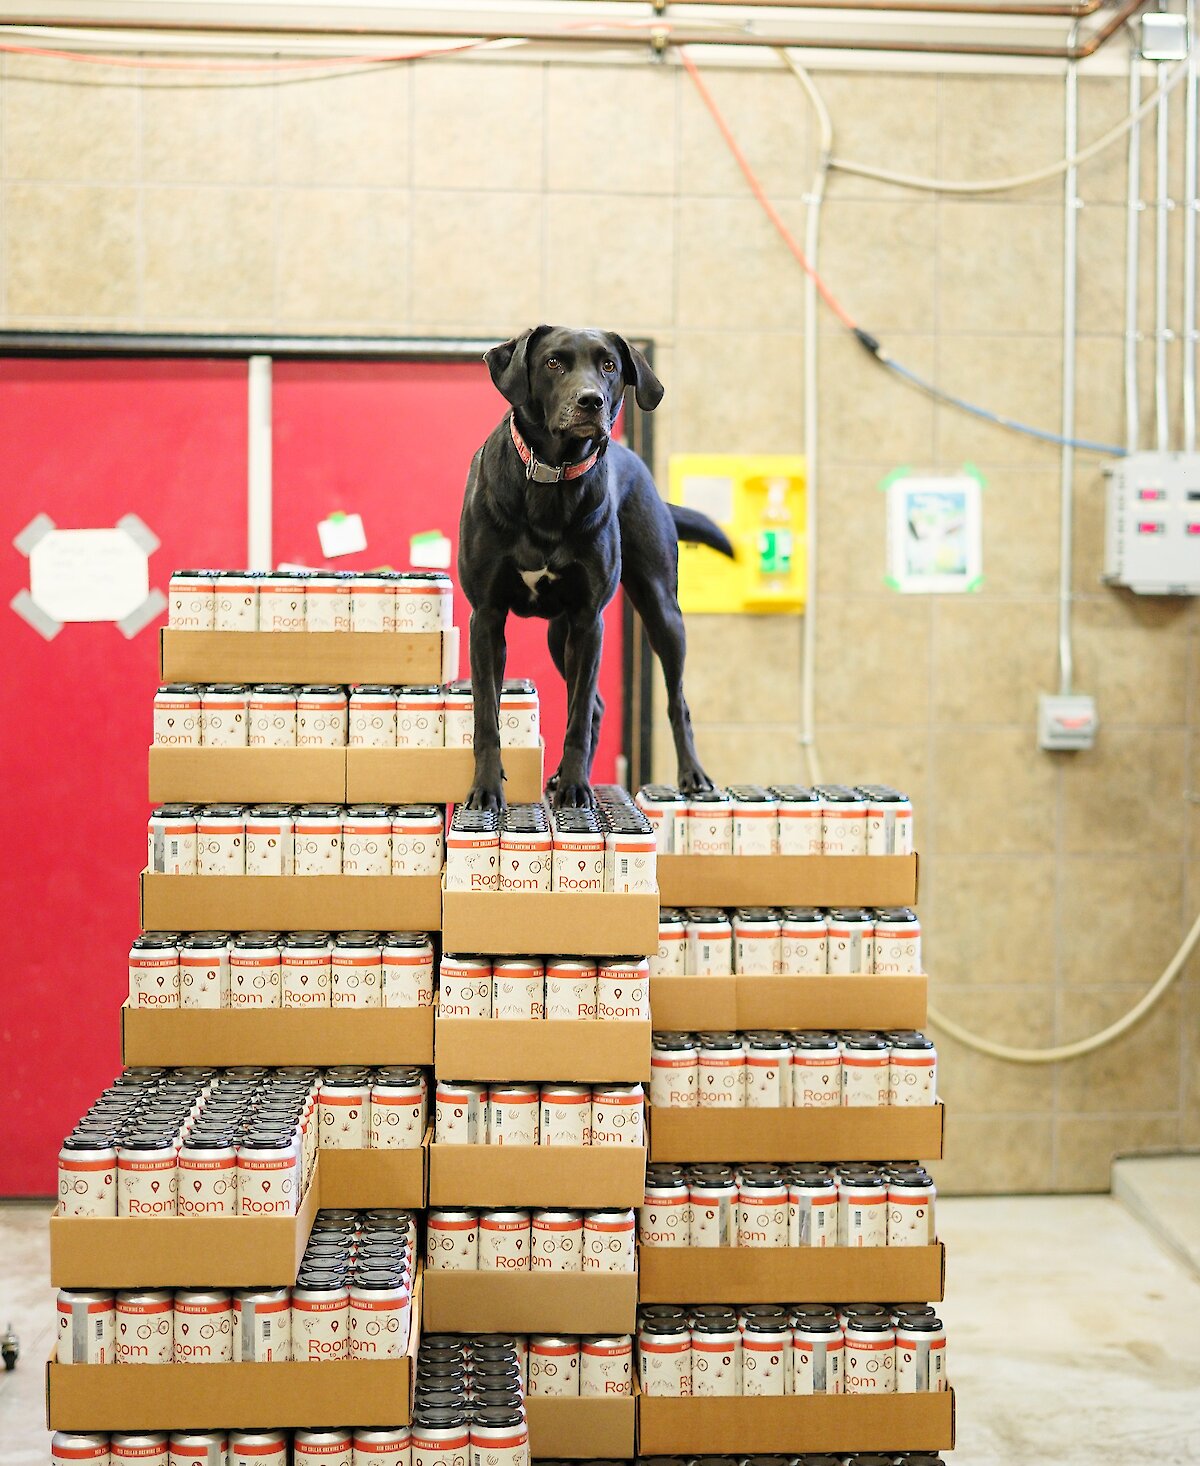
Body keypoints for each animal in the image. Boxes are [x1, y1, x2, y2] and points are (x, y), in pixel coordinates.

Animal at [460, 323, 735, 815]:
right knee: (600, 706)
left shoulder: (590, 621)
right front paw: (487, 788)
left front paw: (575, 787)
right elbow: (487, 713)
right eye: (553, 362)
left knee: (673, 701)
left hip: (660, 612)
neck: (550, 478)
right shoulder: (487, 617)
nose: (591, 401)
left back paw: (691, 776)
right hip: (559, 634)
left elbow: (578, 713)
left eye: (609, 365)